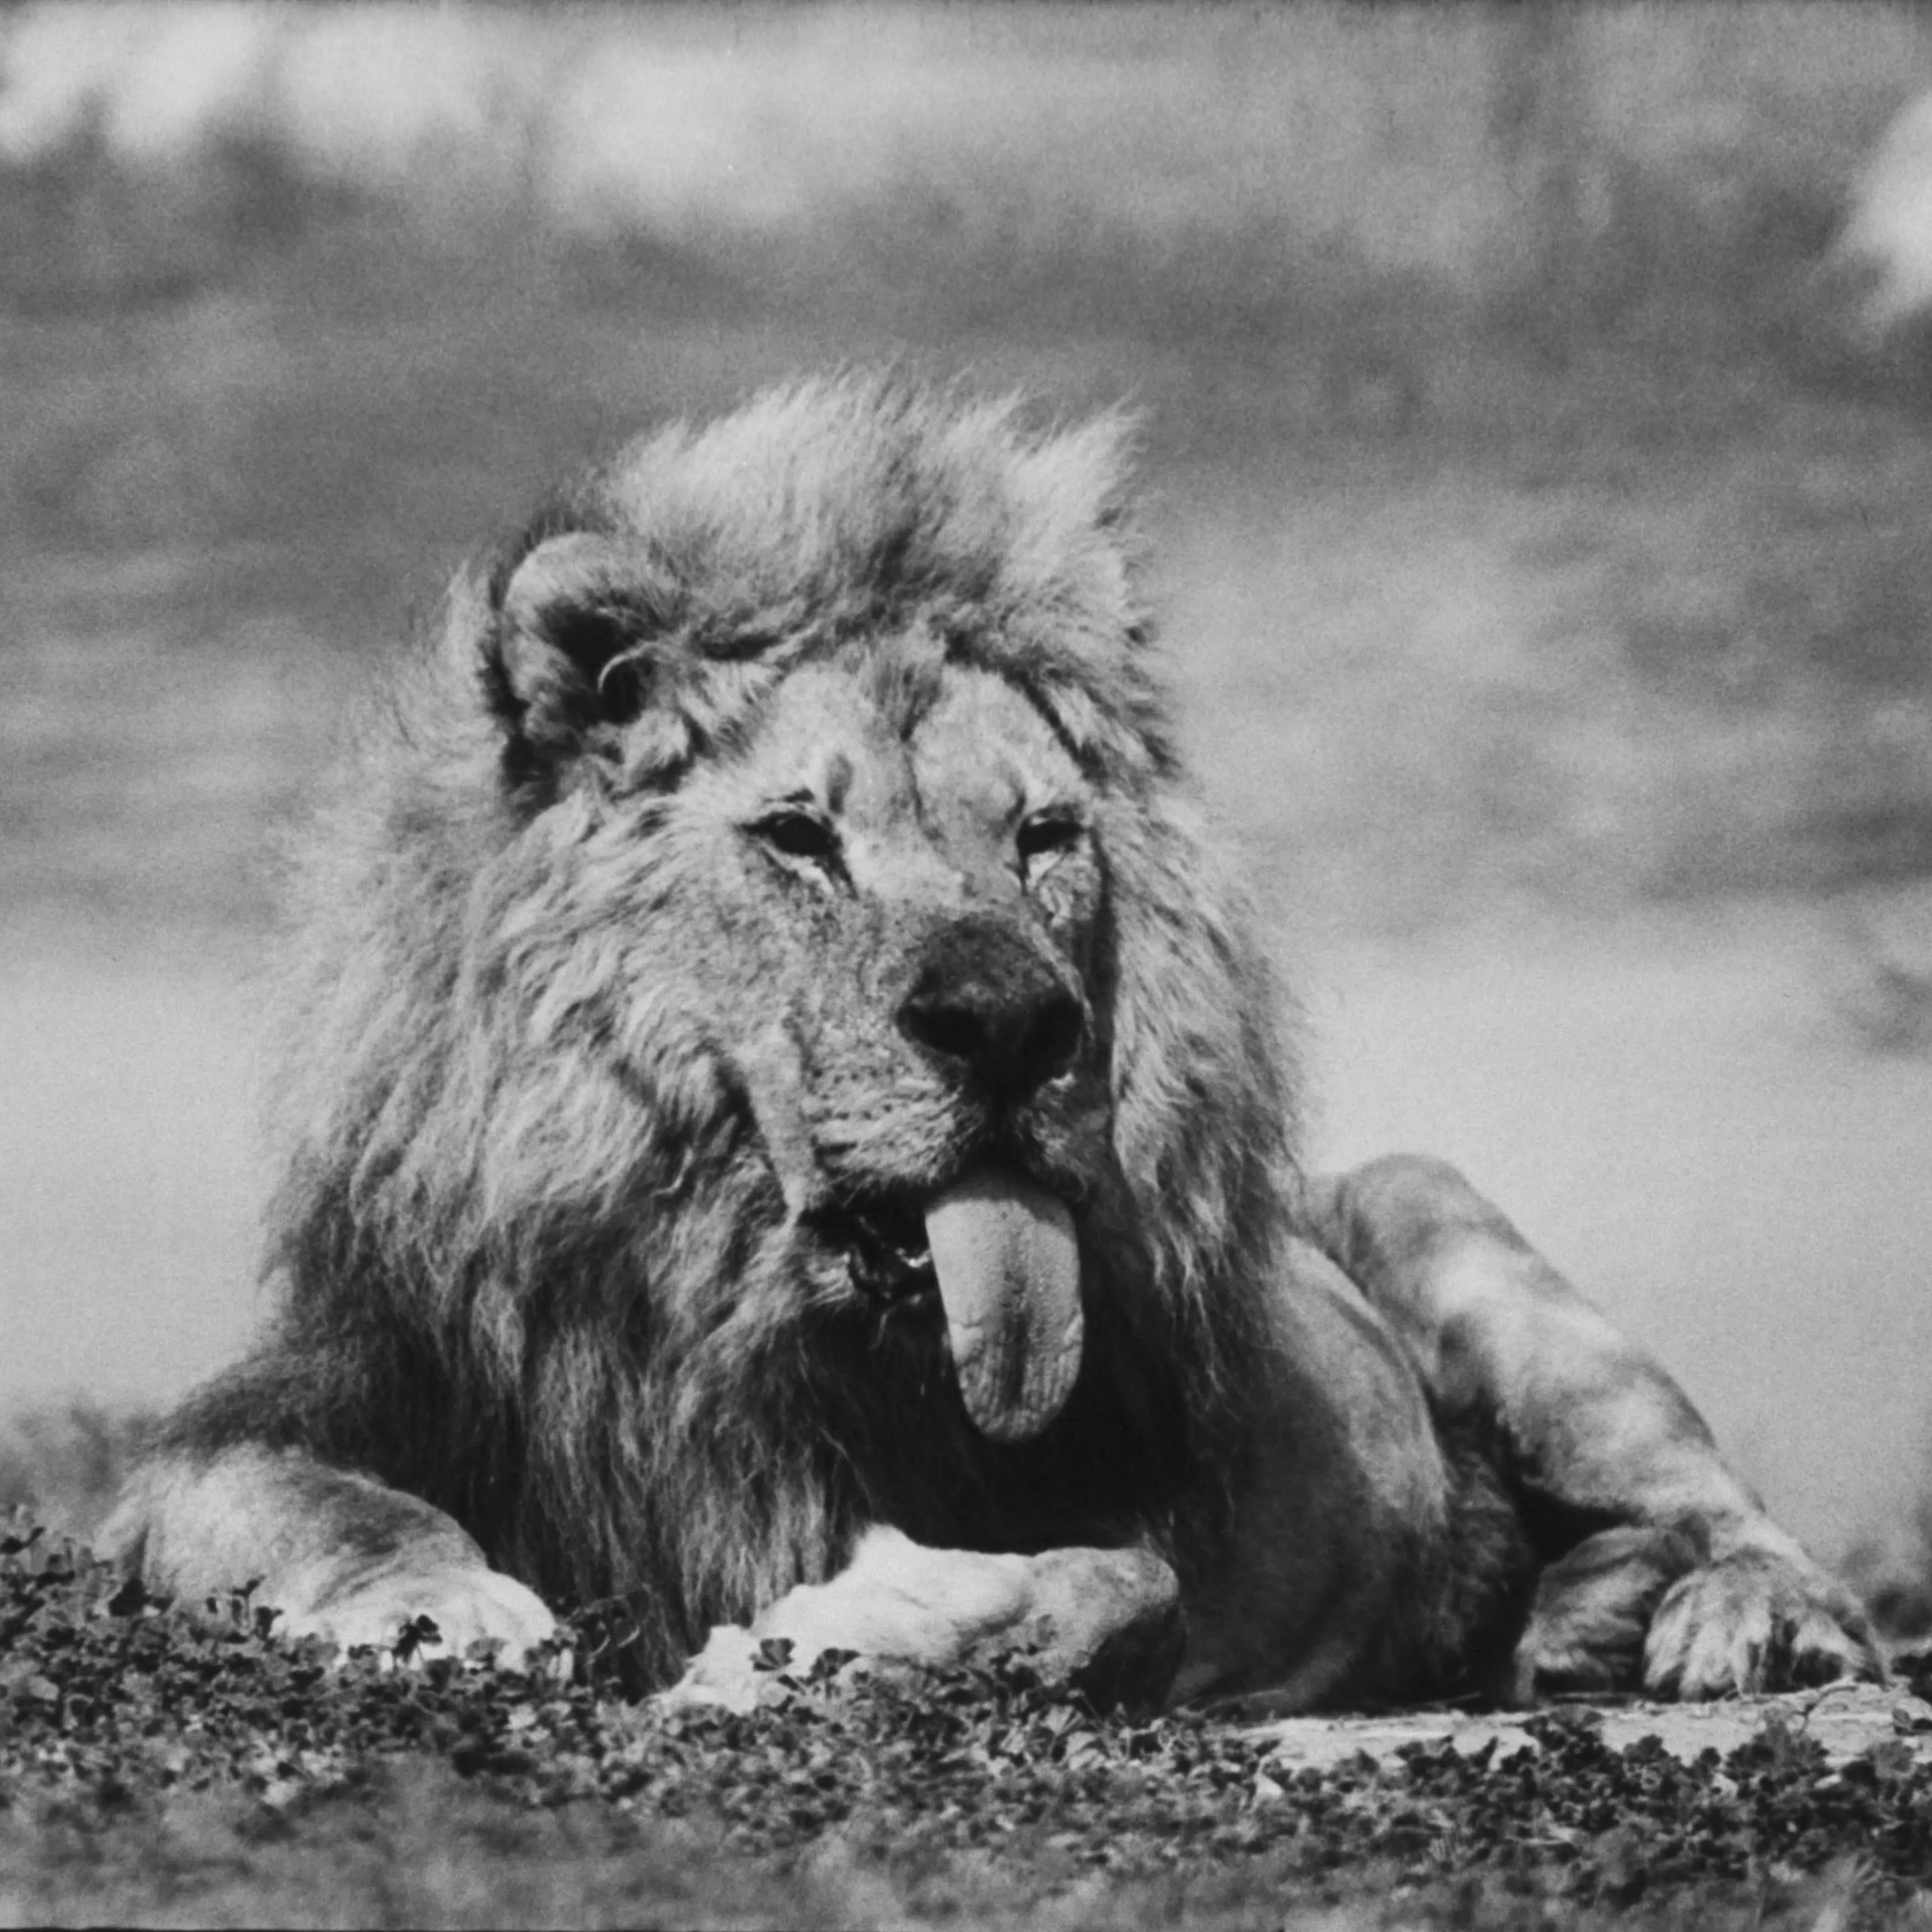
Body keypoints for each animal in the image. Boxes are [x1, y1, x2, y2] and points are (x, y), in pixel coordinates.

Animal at [106, 374, 1879, 1713]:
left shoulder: (1121, 1515)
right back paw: (1569, 1621)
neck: (728, 1311)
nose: (1016, 1024)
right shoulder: (286, 1417)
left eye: (1042, 837)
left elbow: (1119, 1585)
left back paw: (1713, 1622)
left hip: (1443, 1220)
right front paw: (448, 1607)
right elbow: (312, 1501)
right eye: (798, 837)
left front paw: (837, 1637)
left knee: (1742, 1522)